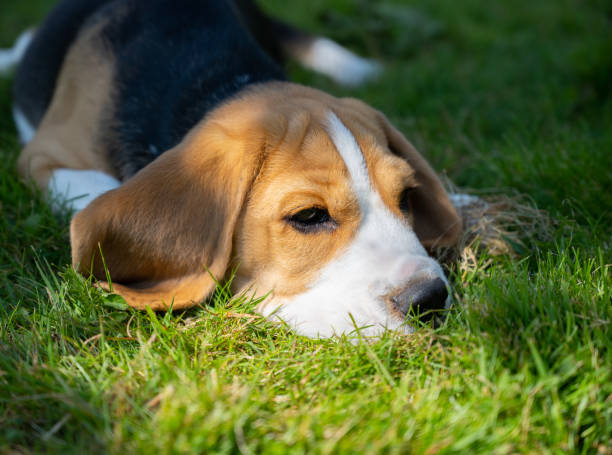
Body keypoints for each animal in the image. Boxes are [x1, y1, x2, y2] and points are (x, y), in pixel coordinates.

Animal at [3, 0, 468, 336]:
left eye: (406, 197)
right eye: (309, 216)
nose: (429, 299)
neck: (223, 79)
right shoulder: (42, 154)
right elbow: (97, 191)